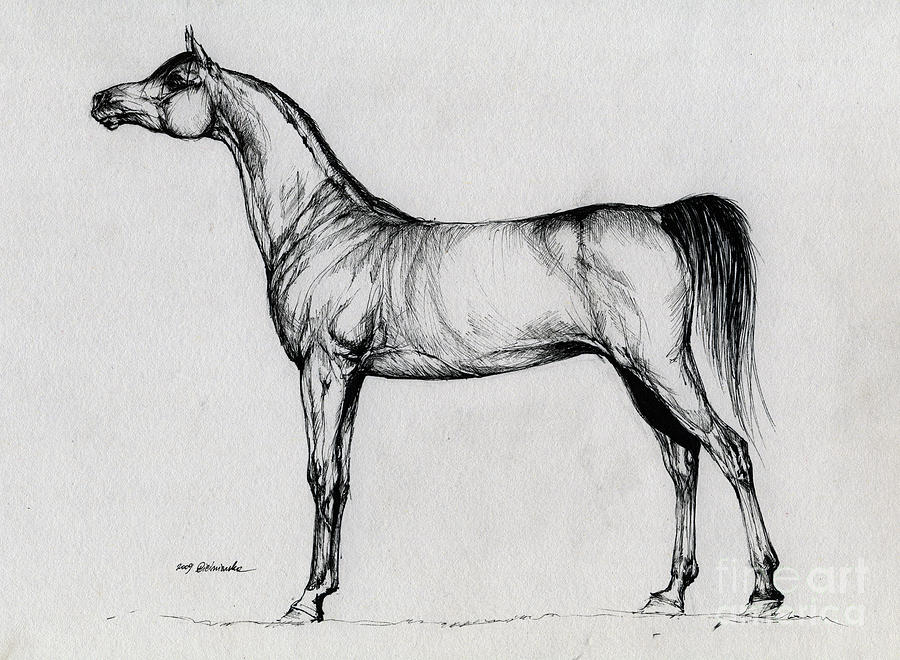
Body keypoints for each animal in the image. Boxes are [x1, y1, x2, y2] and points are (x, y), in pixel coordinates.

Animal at [91, 29, 783, 622]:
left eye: (176, 78)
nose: (101, 101)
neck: (319, 227)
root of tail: (662, 216)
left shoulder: (324, 369)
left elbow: (321, 476)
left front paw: (306, 600)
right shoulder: (351, 378)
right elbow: (341, 479)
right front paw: (325, 589)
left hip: (660, 365)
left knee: (730, 448)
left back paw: (763, 589)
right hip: (637, 375)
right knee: (684, 462)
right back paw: (670, 593)